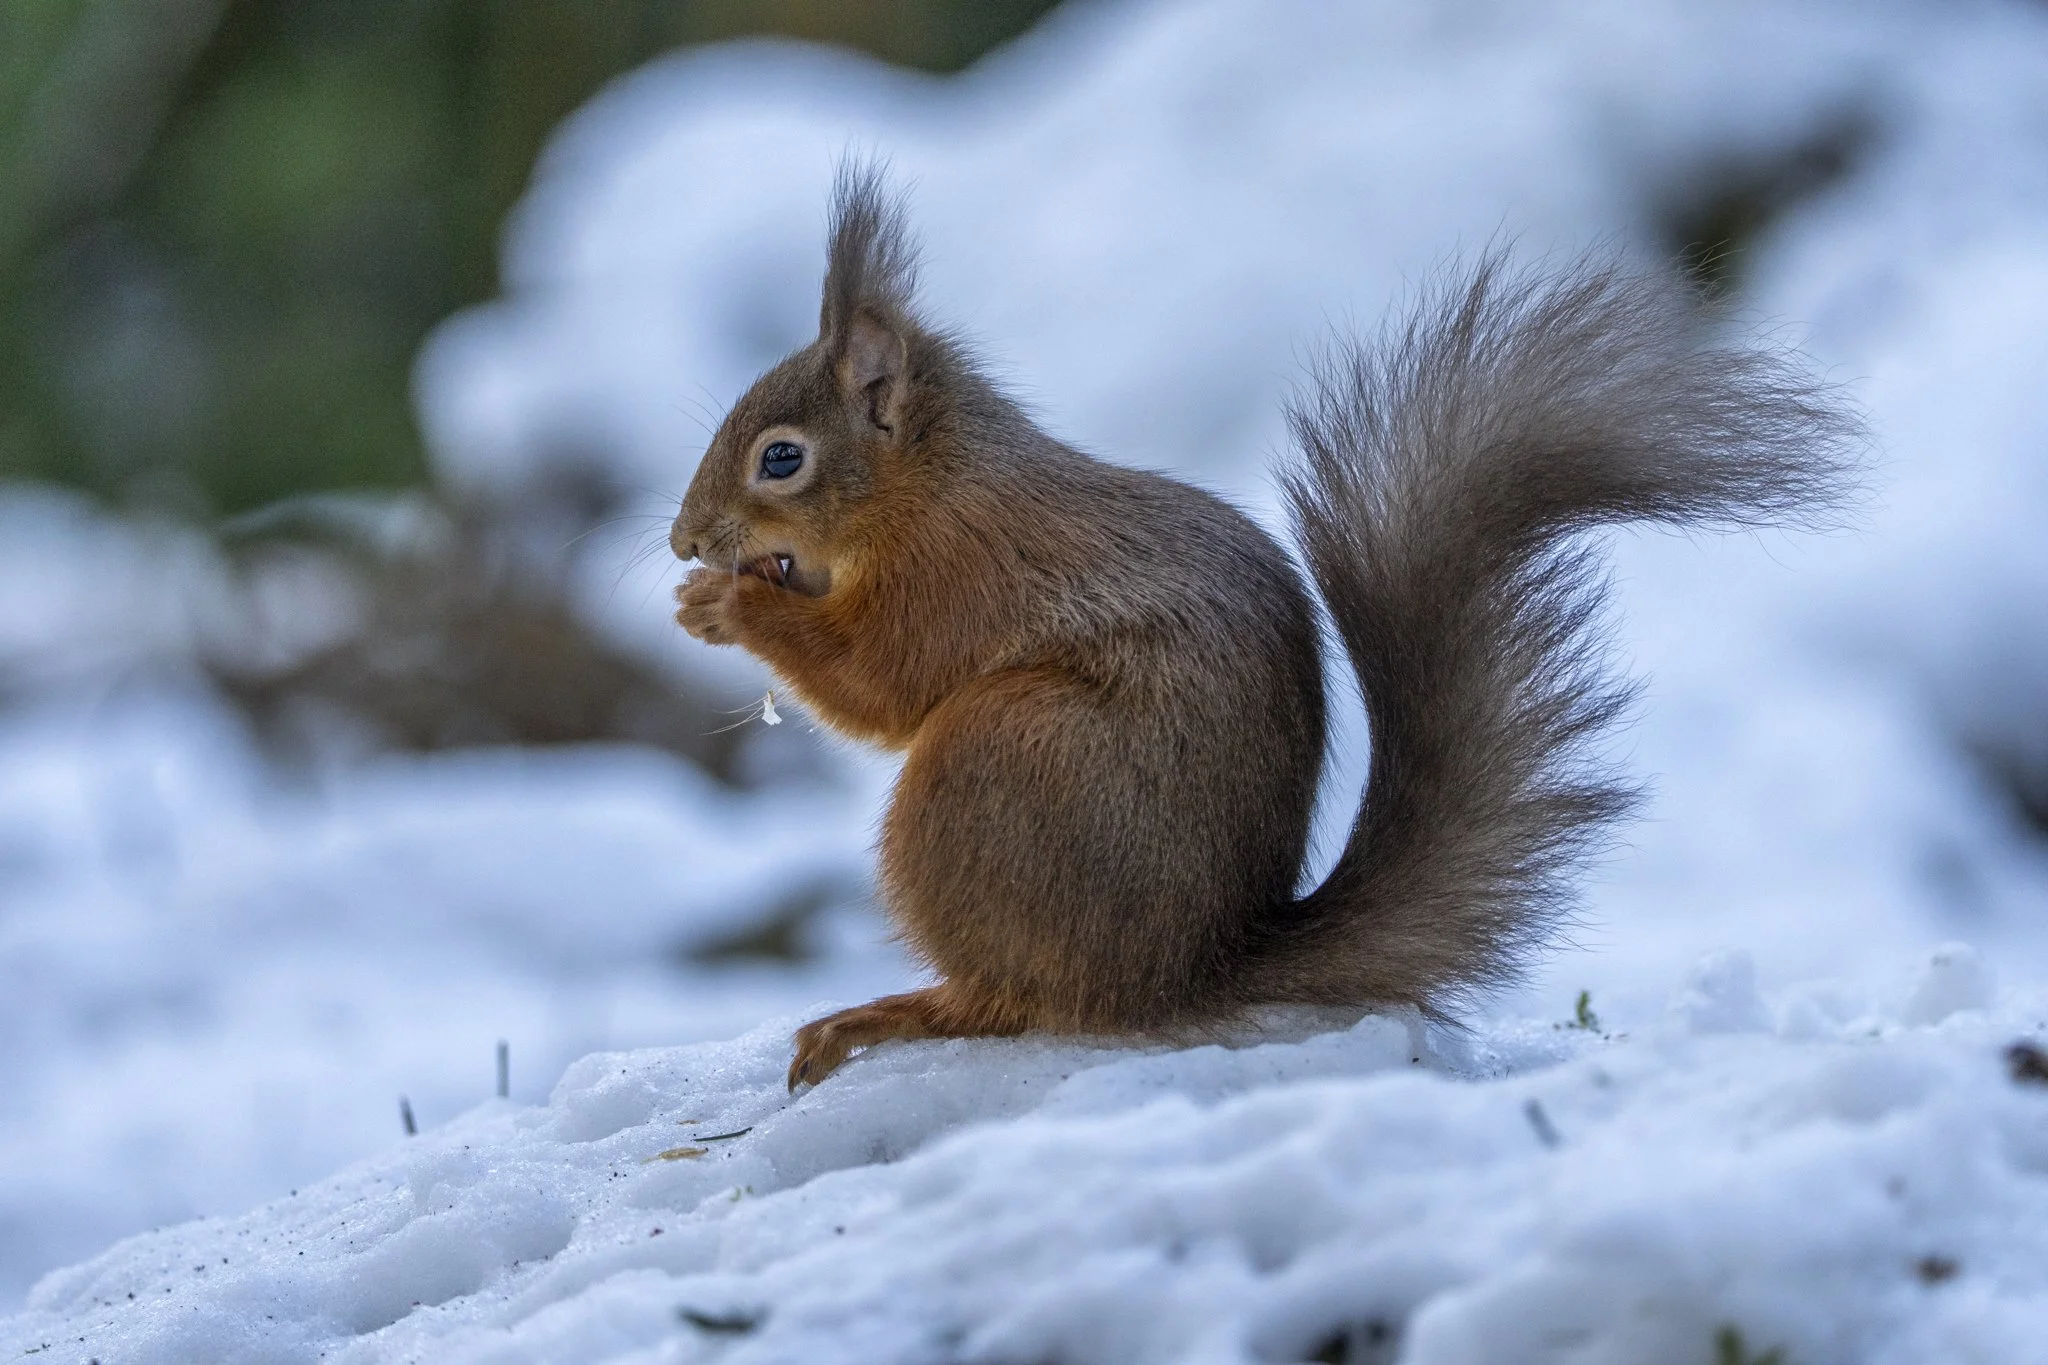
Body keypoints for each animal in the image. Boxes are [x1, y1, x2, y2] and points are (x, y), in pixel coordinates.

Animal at [671, 164, 1858, 1089]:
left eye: (782, 458)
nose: (685, 540)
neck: (926, 488)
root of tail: (1184, 970)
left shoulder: (957, 575)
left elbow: (883, 683)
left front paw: (733, 607)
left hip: (997, 765)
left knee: (1019, 1000)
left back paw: (897, 1012)